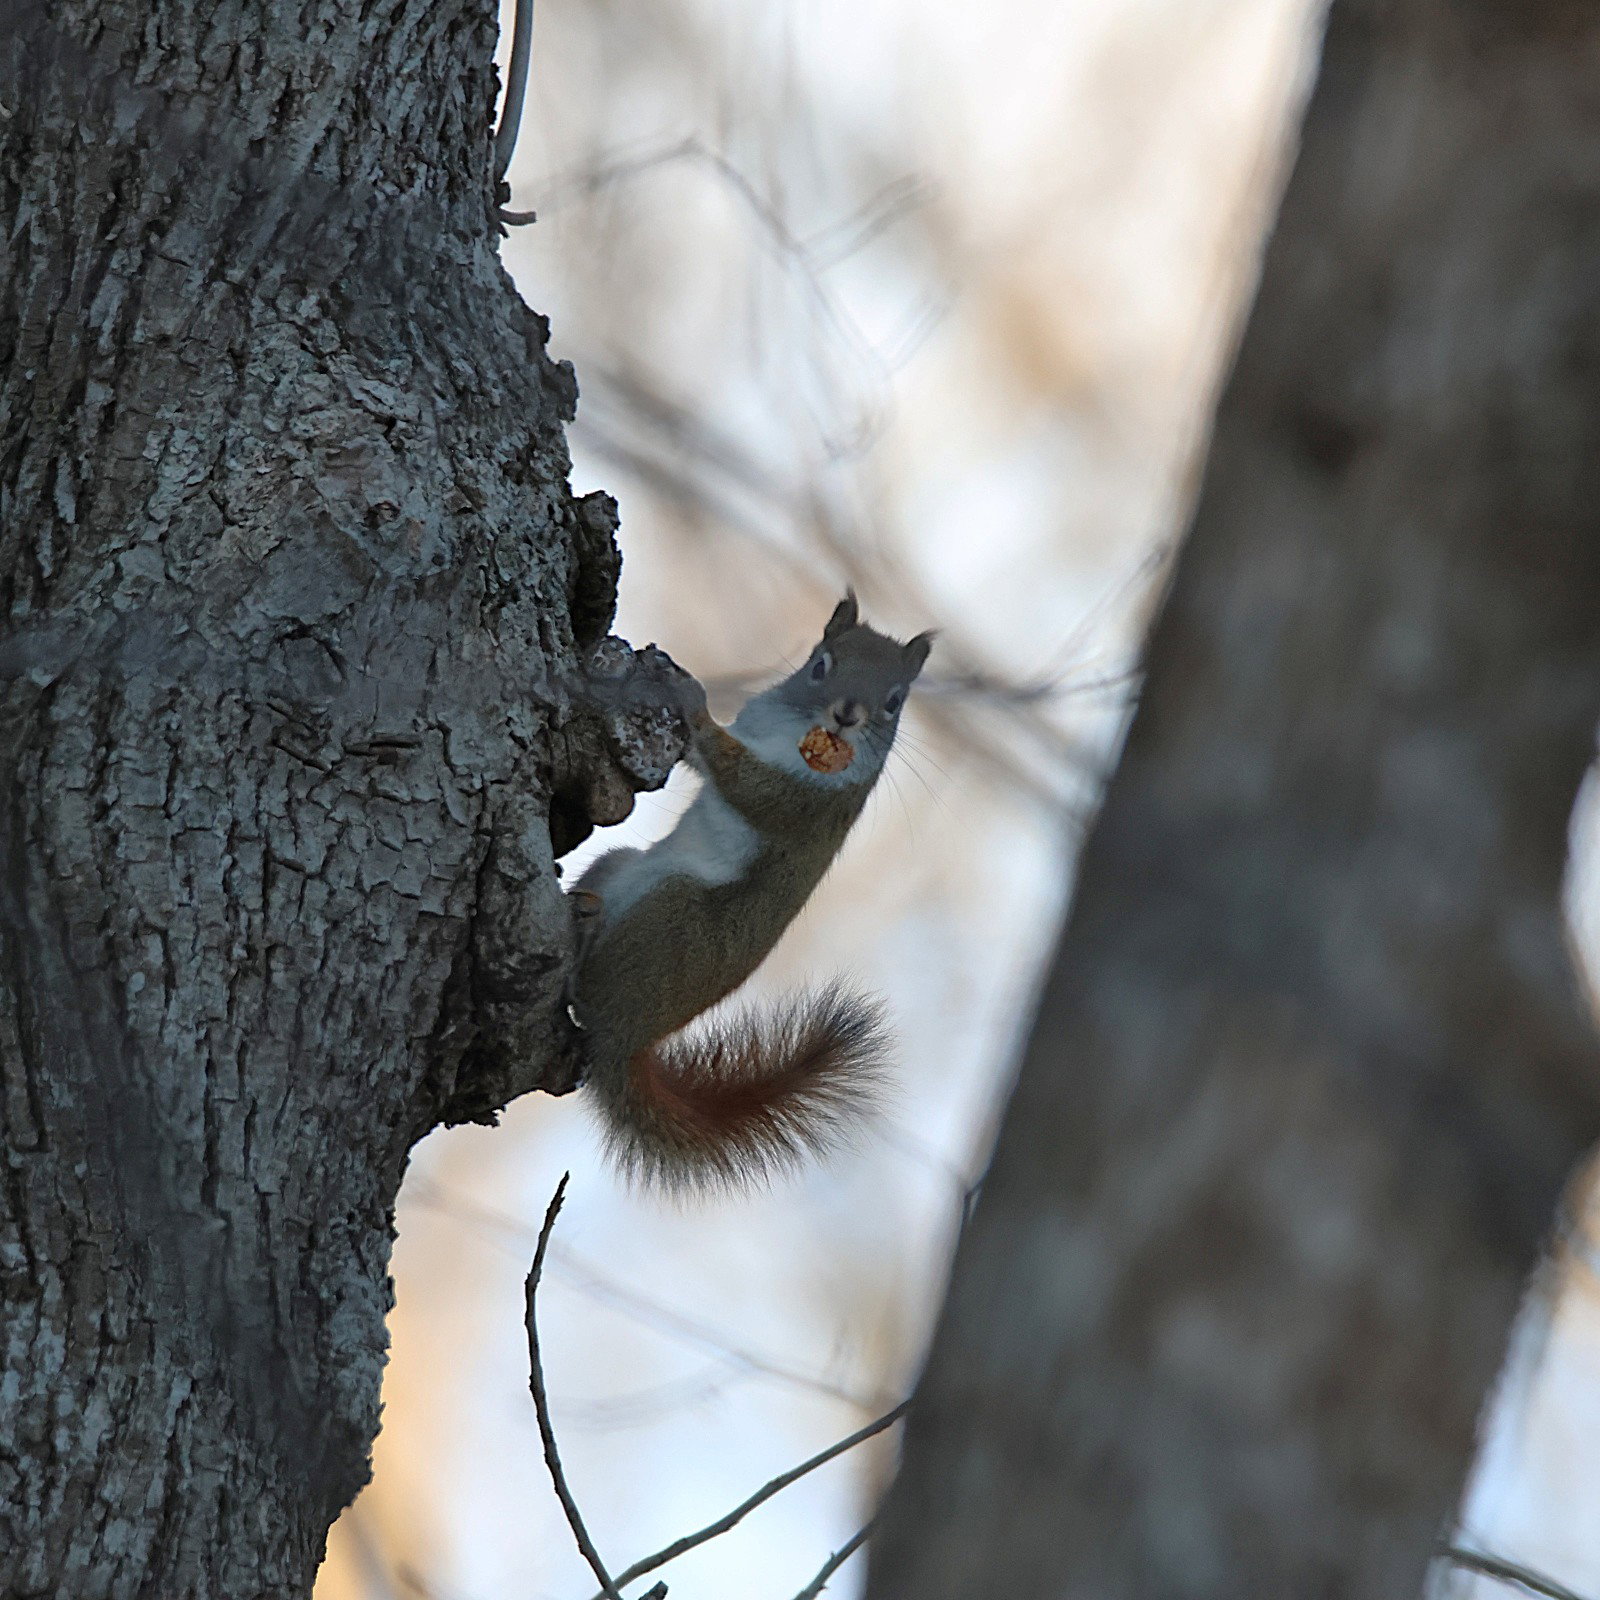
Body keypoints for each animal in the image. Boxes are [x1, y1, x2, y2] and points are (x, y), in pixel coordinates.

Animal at [569, 595, 932, 1188]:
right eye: (821, 664)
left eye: (895, 702)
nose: (847, 714)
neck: (799, 732)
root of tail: (627, 1041)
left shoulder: (803, 799)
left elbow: (740, 779)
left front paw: (691, 700)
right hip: (616, 867)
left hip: (672, 915)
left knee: (585, 993)